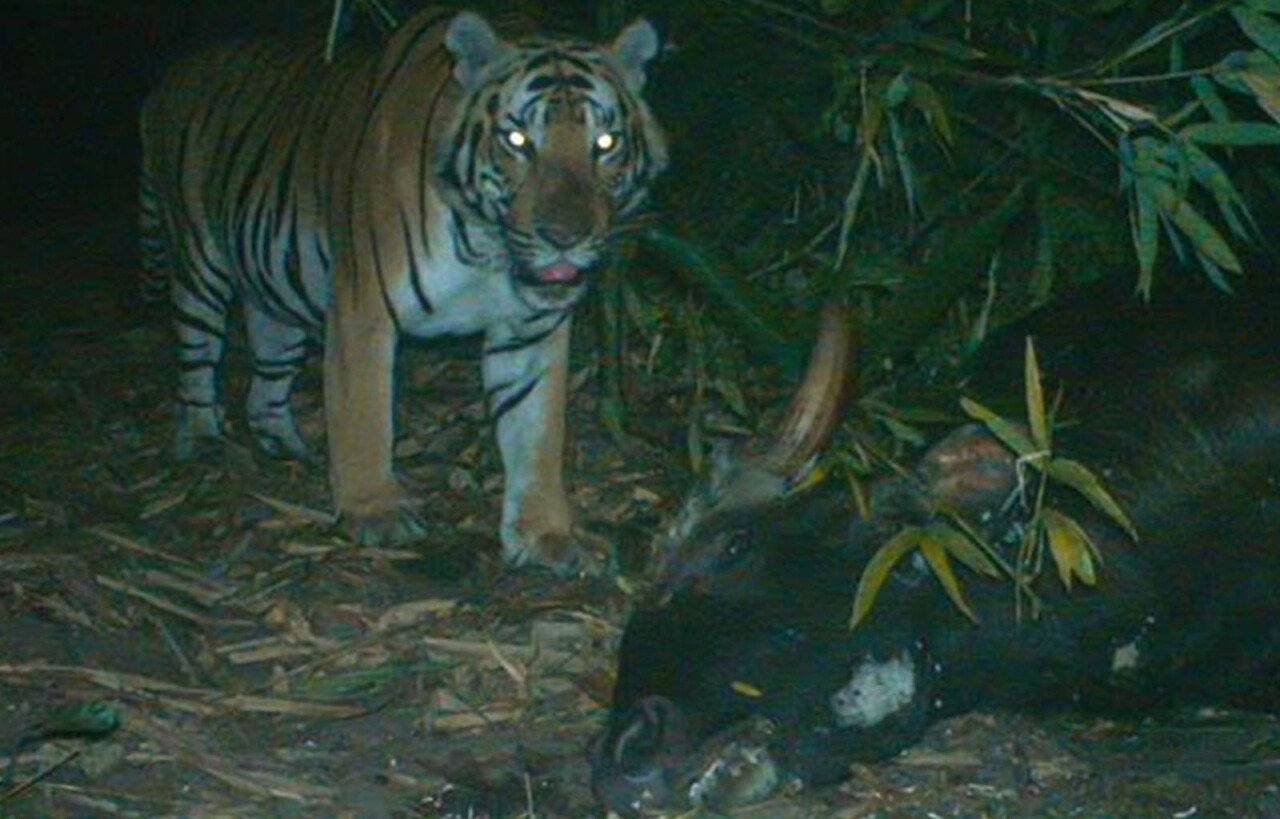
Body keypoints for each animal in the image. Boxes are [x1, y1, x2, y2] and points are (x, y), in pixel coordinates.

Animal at [142, 6, 670, 573]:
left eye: (606, 144)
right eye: (517, 141)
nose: (564, 239)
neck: (489, 247)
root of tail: (172, 75)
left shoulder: (531, 332)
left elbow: (536, 436)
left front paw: (546, 536)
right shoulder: (363, 310)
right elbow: (365, 416)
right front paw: (375, 513)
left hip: (276, 296)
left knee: (265, 384)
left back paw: (285, 446)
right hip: (200, 265)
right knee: (197, 362)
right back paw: (204, 441)